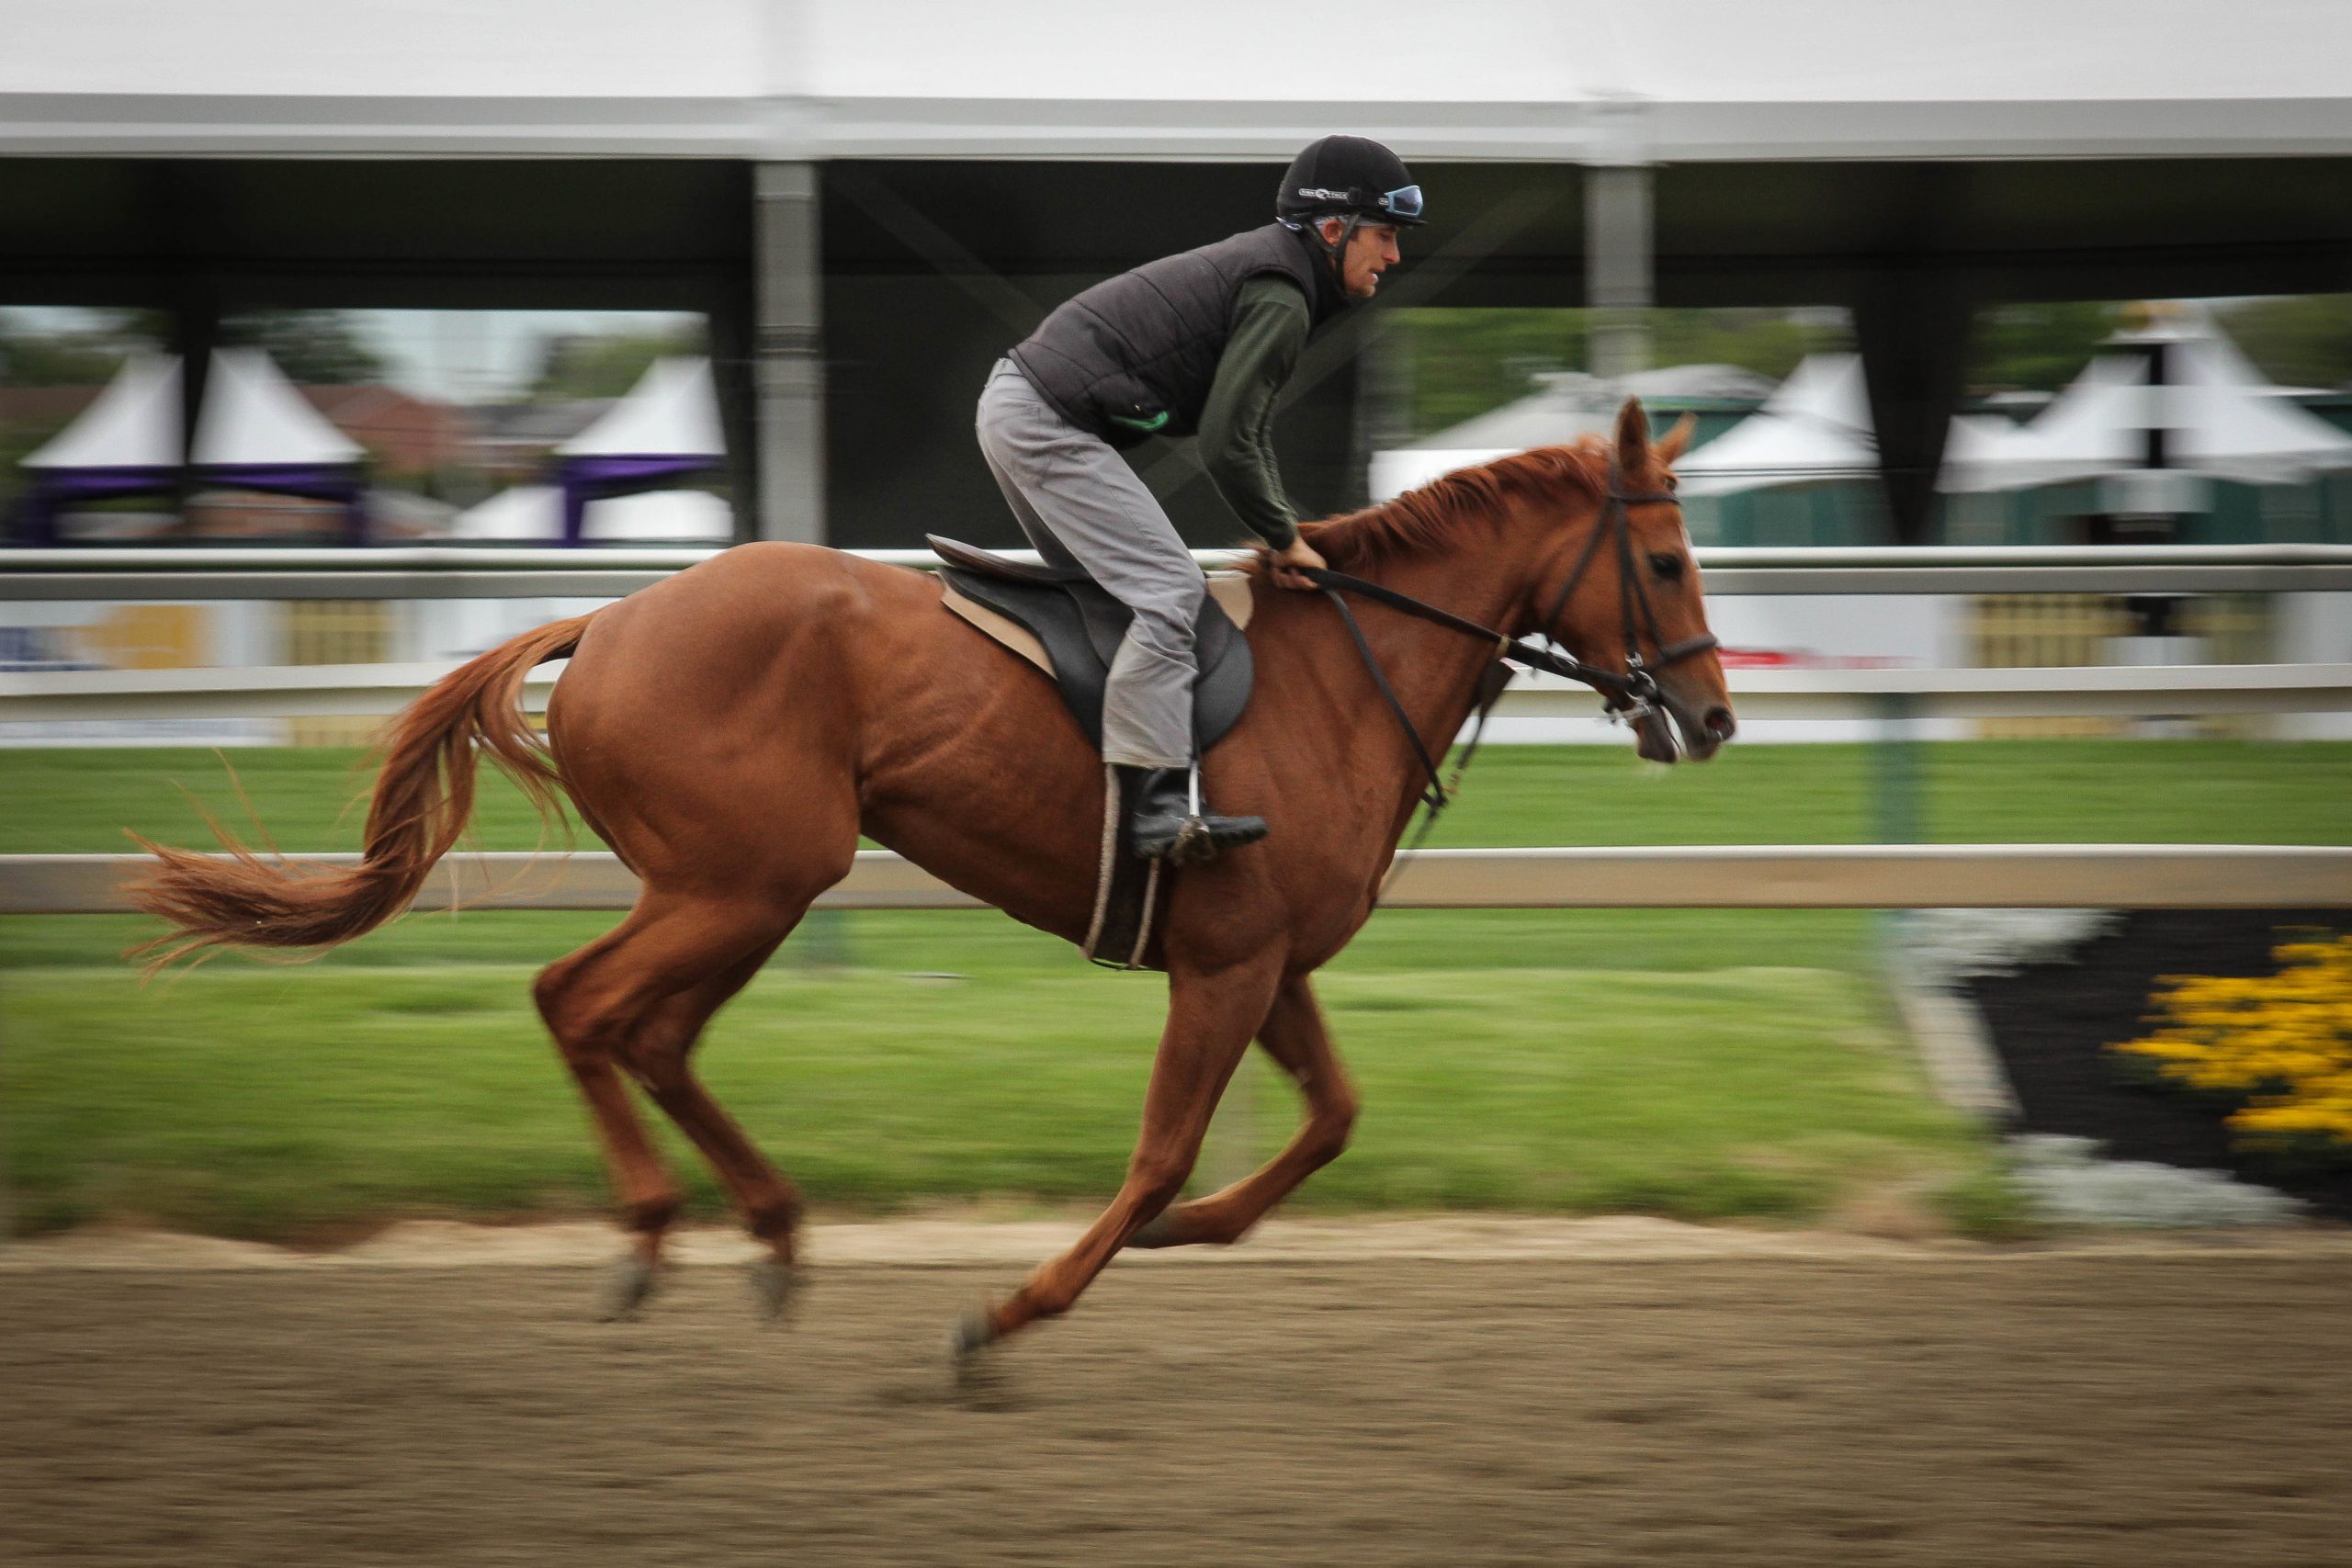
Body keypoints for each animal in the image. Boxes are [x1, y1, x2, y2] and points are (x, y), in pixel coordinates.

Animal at [133, 401, 1731, 1363]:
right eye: (1664, 557)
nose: (1713, 718)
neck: (1346, 670)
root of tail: (614, 618)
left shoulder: (1264, 959)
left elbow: (1330, 1116)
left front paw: (1197, 1231)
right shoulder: (1225, 963)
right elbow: (1161, 1150)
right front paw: (1009, 1313)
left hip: (745, 886)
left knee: (648, 1030)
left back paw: (771, 1232)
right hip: (743, 879)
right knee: (581, 1001)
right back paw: (653, 1236)